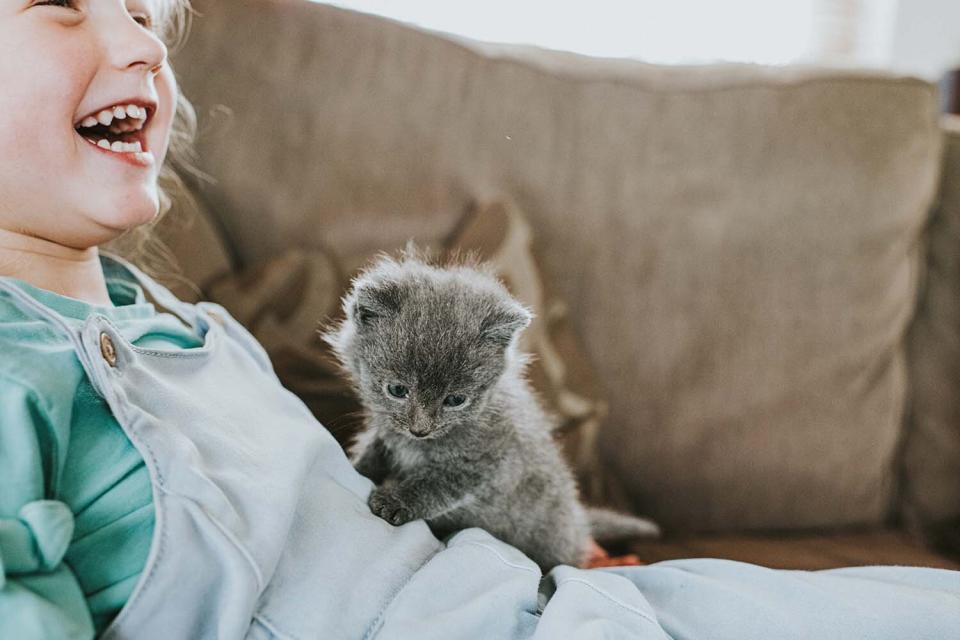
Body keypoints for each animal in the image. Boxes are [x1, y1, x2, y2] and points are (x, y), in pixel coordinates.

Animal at [322, 250, 660, 568]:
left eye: (455, 400)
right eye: (396, 390)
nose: (420, 428)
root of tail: (579, 524)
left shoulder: (489, 463)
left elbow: (438, 484)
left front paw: (397, 500)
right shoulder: (388, 433)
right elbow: (374, 451)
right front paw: (357, 467)